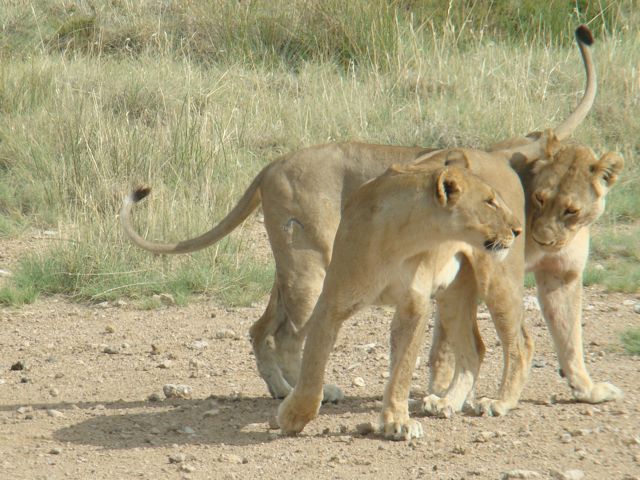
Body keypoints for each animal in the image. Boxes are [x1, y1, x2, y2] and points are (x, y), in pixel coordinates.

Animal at [276, 161, 524, 438]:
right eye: (489, 202)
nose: (517, 230)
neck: (403, 240)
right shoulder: (331, 302)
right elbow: (313, 364)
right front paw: (295, 415)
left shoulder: (414, 307)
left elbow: (402, 370)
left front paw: (397, 420)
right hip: (453, 296)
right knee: (475, 350)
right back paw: (446, 402)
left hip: (496, 282)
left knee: (518, 345)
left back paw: (500, 401)